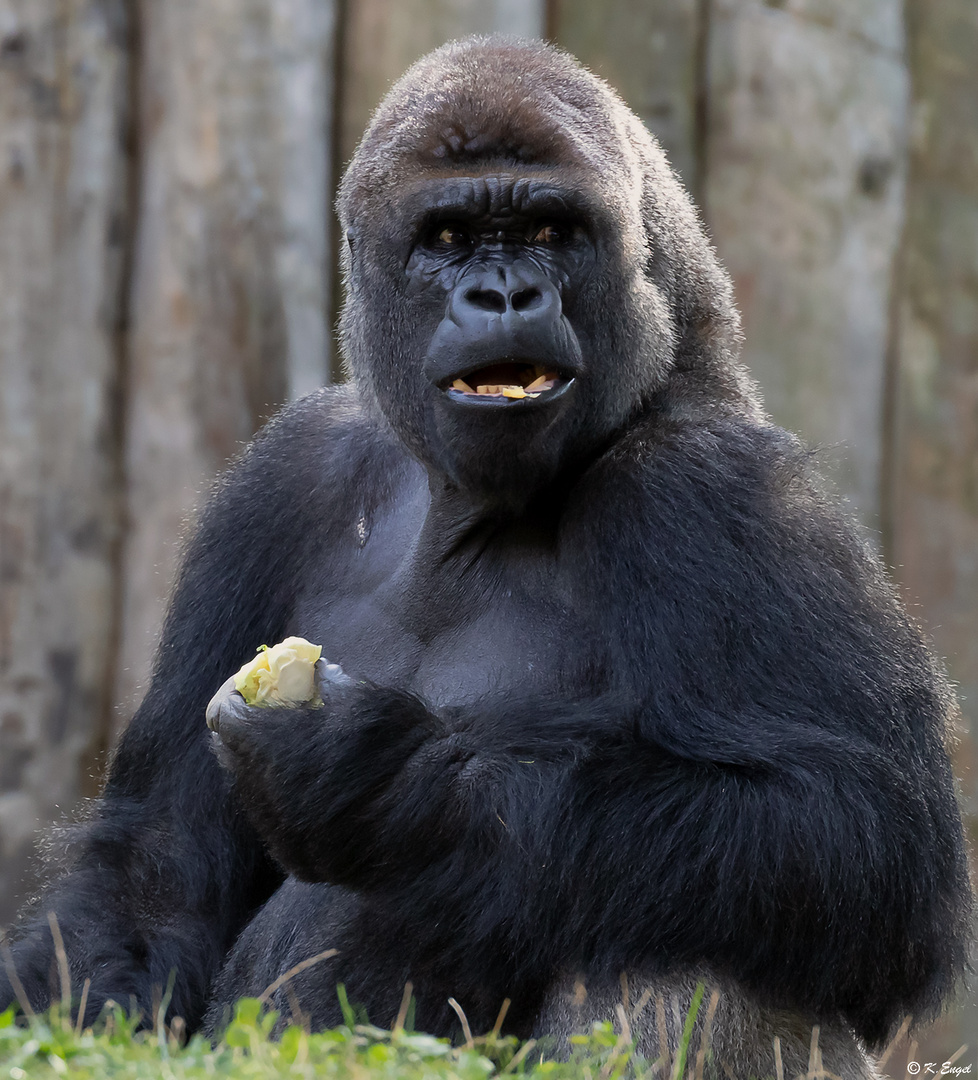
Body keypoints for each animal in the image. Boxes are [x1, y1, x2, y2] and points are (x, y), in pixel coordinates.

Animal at [3, 35, 971, 1080]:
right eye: (449, 237)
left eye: (549, 231)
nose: (504, 294)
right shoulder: (280, 478)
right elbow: (155, 866)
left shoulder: (714, 488)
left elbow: (861, 847)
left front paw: (380, 783)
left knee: (709, 937)